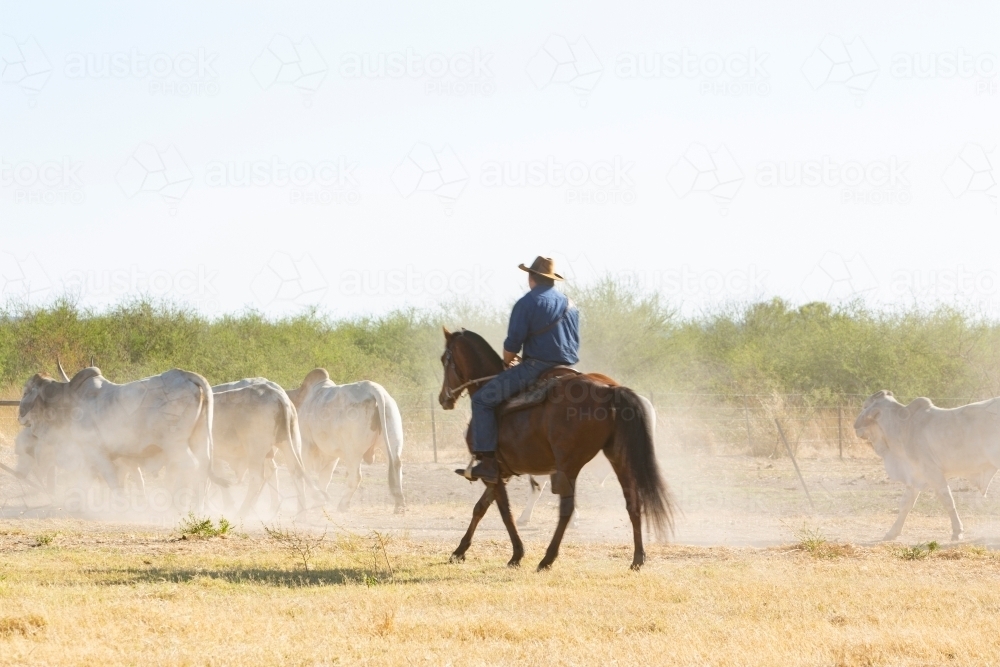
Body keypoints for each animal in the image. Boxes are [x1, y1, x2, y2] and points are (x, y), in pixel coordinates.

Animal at [16, 366, 223, 512]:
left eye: (26, 392)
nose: (19, 415)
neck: (68, 401)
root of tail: (185, 375)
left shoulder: (95, 451)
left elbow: (112, 481)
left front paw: (121, 508)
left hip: (175, 445)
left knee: (191, 467)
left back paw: (178, 505)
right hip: (199, 440)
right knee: (203, 468)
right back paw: (199, 507)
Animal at [286, 368, 406, 516]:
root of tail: (373, 388)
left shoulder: (306, 448)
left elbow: (305, 474)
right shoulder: (330, 455)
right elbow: (324, 479)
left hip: (353, 452)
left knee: (356, 477)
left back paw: (343, 504)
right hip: (393, 442)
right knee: (396, 465)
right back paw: (399, 505)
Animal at [438, 328, 672, 568]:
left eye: (444, 359)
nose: (443, 398)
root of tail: (610, 389)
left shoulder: (491, 472)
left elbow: (504, 512)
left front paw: (516, 553)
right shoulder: (501, 473)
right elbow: (481, 507)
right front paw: (460, 551)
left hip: (569, 466)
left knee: (566, 510)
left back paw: (547, 559)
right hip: (619, 459)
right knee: (632, 503)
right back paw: (638, 559)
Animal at [852, 392, 1000, 544]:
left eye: (864, 406)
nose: (856, 428)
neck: (903, 427)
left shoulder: (932, 472)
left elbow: (948, 501)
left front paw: (957, 531)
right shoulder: (914, 476)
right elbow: (905, 505)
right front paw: (892, 532)